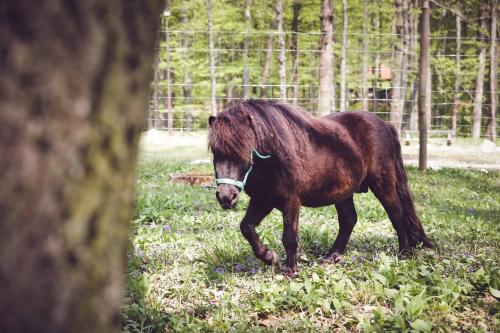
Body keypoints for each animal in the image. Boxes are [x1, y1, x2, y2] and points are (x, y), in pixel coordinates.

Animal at [209, 100, 432, 276]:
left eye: (243, 151)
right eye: (215, 152)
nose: (226, 197)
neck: (273, 158)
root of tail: (385, 125)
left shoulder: (291, 201)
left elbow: (289, 237)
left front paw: (291, 271)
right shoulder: (263, 200)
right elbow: (246, 227)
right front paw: (269, 257)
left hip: (382, 184)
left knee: (396, 213)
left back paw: (404, 253)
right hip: (344, 193)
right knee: (349, 220)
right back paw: (332, 256)